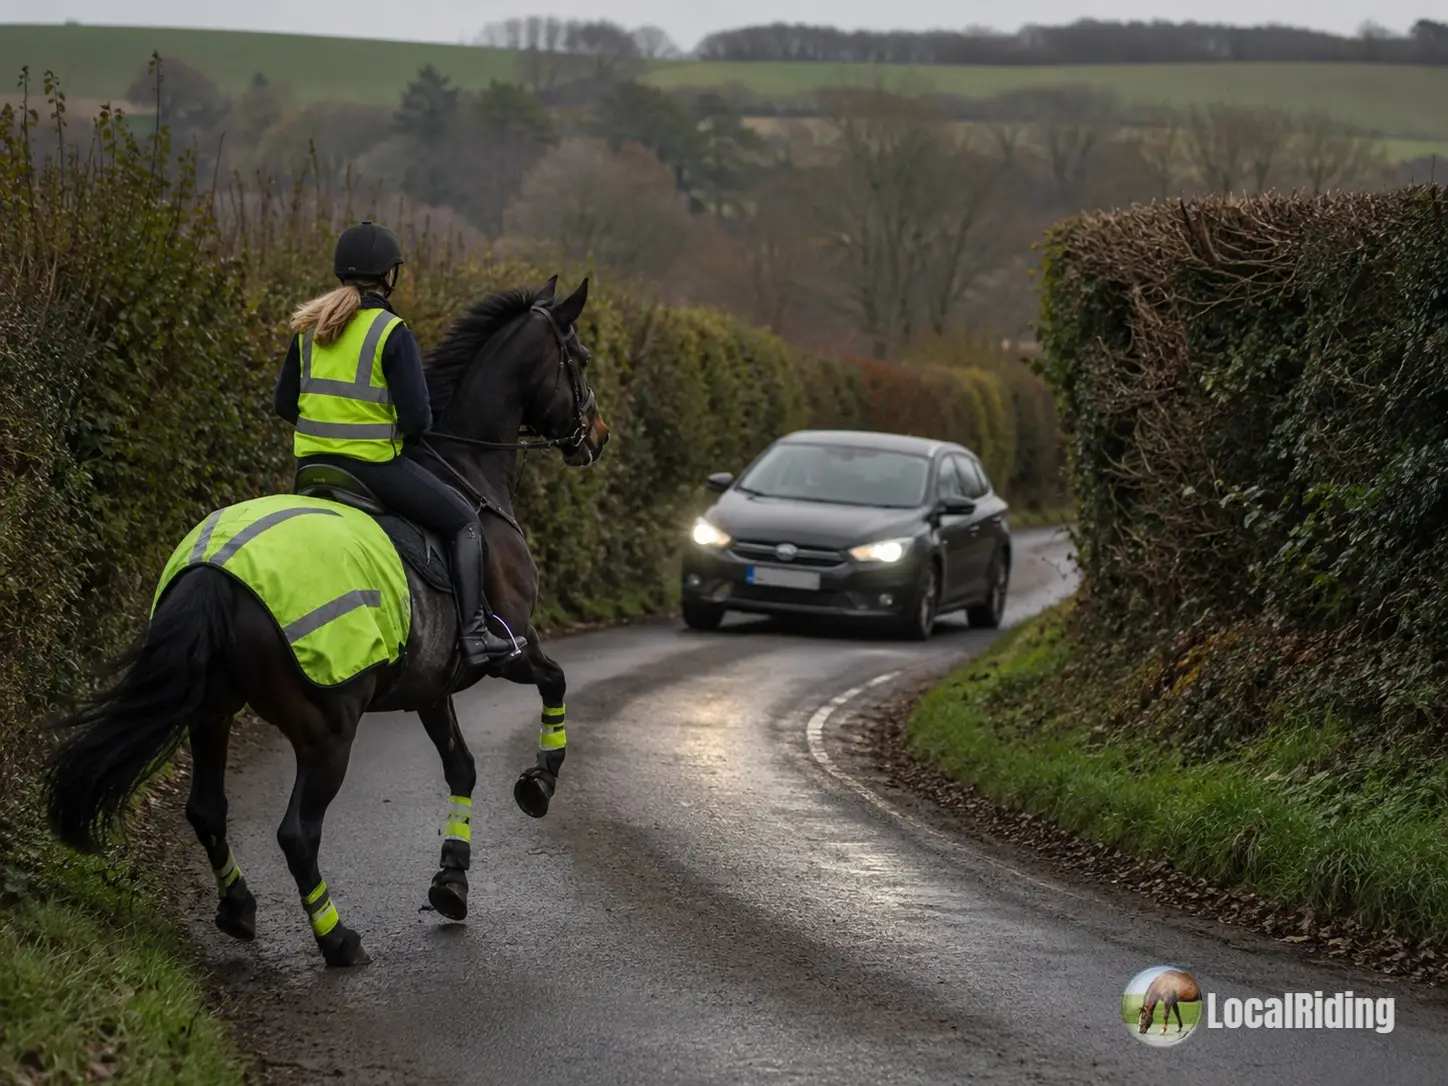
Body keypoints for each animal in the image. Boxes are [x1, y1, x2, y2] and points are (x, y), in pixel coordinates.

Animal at [42, 275, 610, 968]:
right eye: (580, 358)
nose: (597, 434)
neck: (467, 473)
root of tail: (215, 574)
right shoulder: (514, 646)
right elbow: (556, 682)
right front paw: (539, 784)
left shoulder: (431, 686)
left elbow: (461, 767)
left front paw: (451, 880)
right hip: (327, 729)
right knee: (296, 832)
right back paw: (337, 939)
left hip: (212, 709)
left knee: (206, 809)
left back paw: (239, 909)